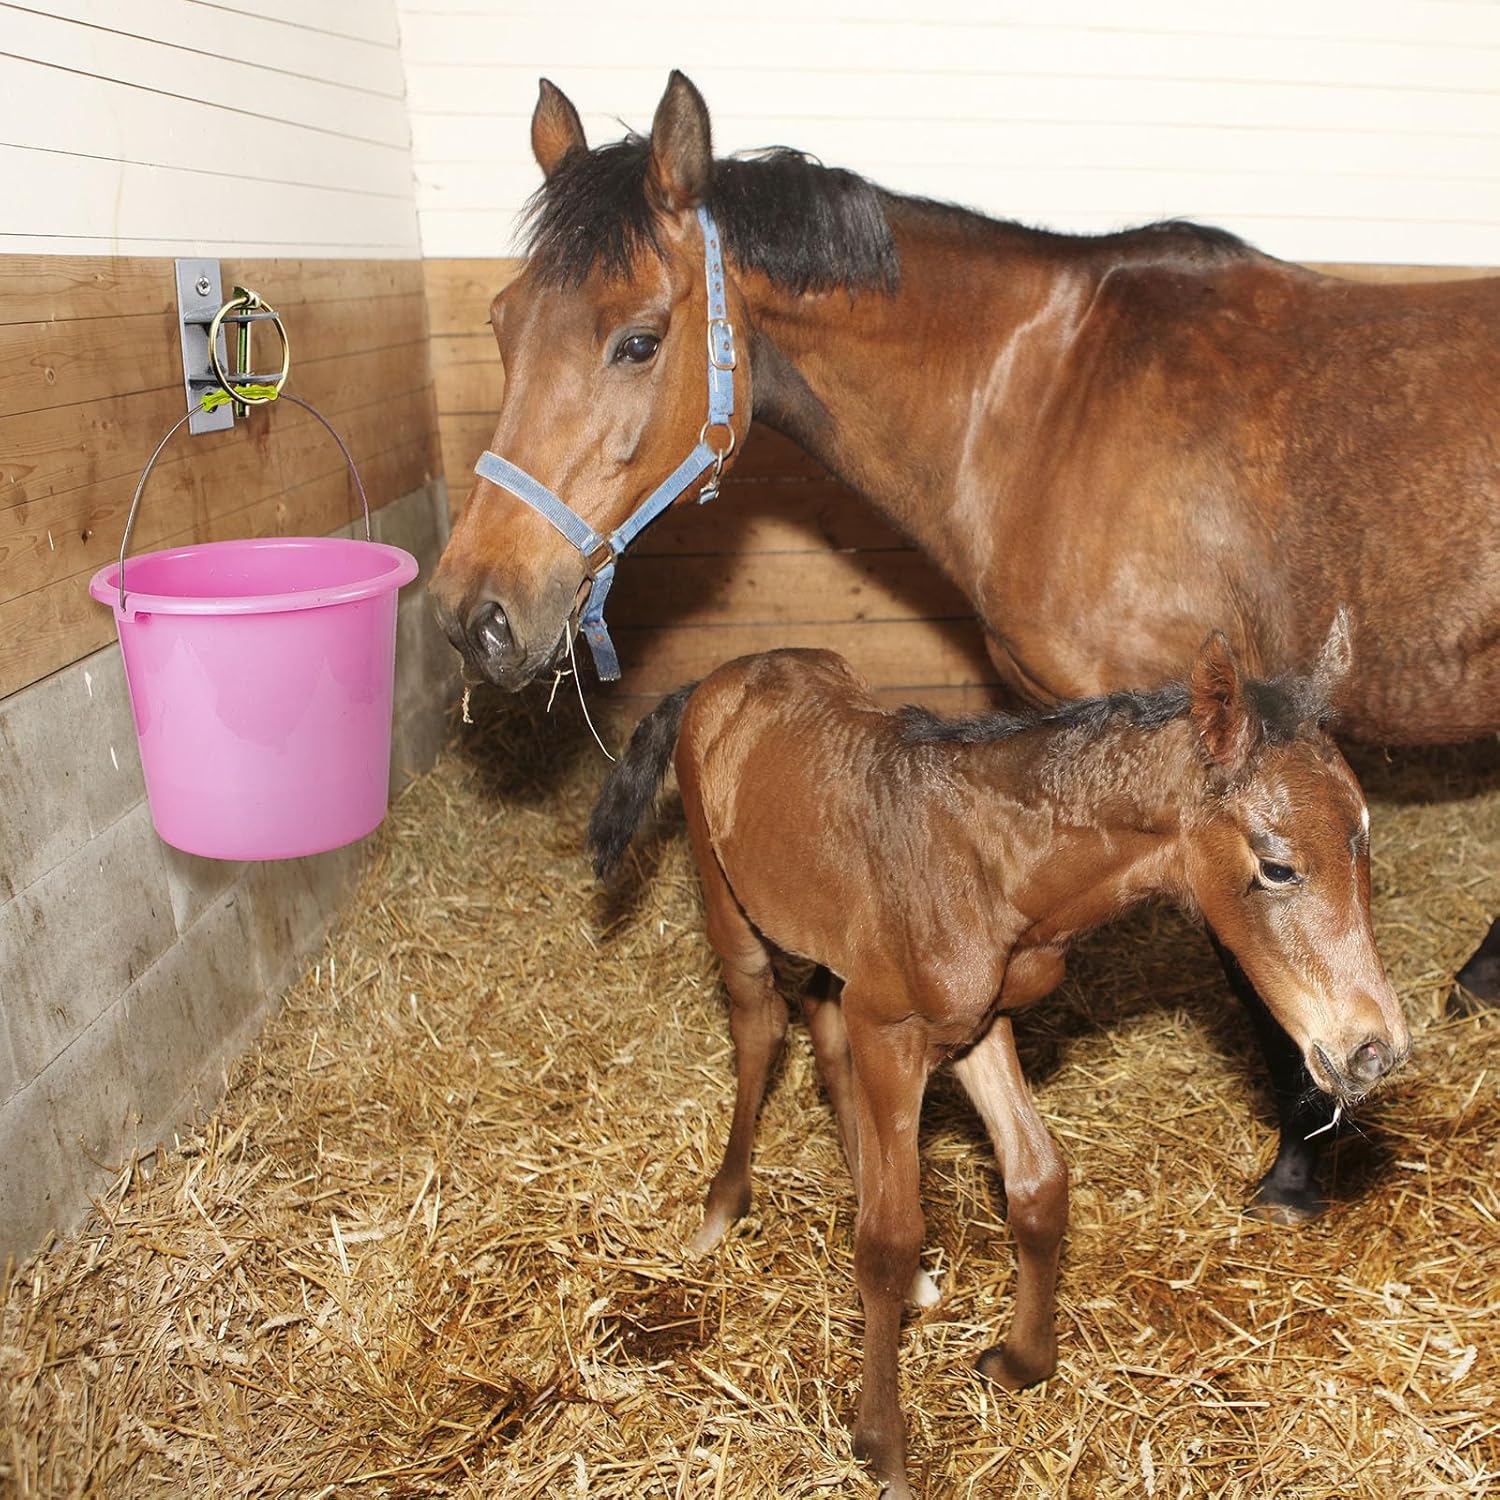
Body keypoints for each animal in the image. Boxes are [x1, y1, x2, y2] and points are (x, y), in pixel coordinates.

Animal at [586, 626, 1407, 1500]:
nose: (1374, 1049)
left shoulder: (979, 1025)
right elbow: (887, 1238)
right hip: (726, 895)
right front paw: (881, 1449)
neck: (990, 865)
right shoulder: (894, 1032)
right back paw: (724, 1205)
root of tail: (721, 675)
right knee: (761, 1024)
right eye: (1278, 865)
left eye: (1364, 844)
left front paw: (1018, 1361)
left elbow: (1037, 1183)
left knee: (822, 1026)